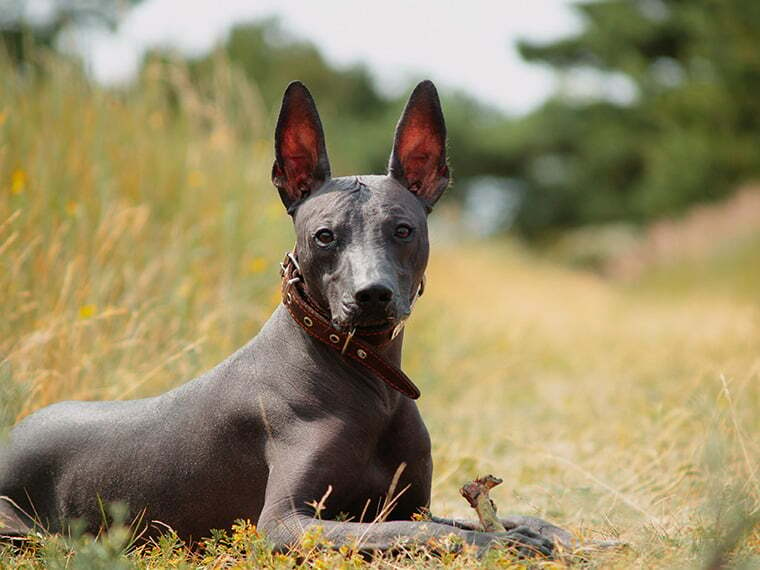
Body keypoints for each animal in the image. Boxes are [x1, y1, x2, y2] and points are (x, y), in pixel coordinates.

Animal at [0, 81, 568, 556]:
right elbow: (419, 531)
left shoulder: (411, 504)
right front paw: (503, 543)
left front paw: (534, 529)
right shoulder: (285, 521)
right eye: (325, 236)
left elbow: (473, 520)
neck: (368, 383)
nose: (372, 295)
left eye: (404, 230)